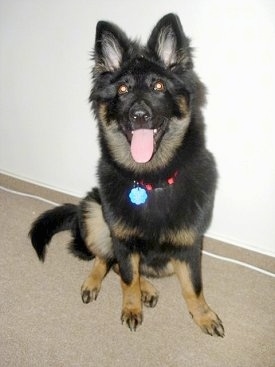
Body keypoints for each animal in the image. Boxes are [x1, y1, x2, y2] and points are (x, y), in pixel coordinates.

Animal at [29, 13, 224, 336]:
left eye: (158, 86)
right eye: (122, 91)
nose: (139, 115)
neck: (151, 180)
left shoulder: (189, 245)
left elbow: (193, 287)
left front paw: (204, 315)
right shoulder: (122, 239)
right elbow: (127, 277)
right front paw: (131, 307)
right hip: (93, 211)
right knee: (108, 261)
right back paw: (101, 283)